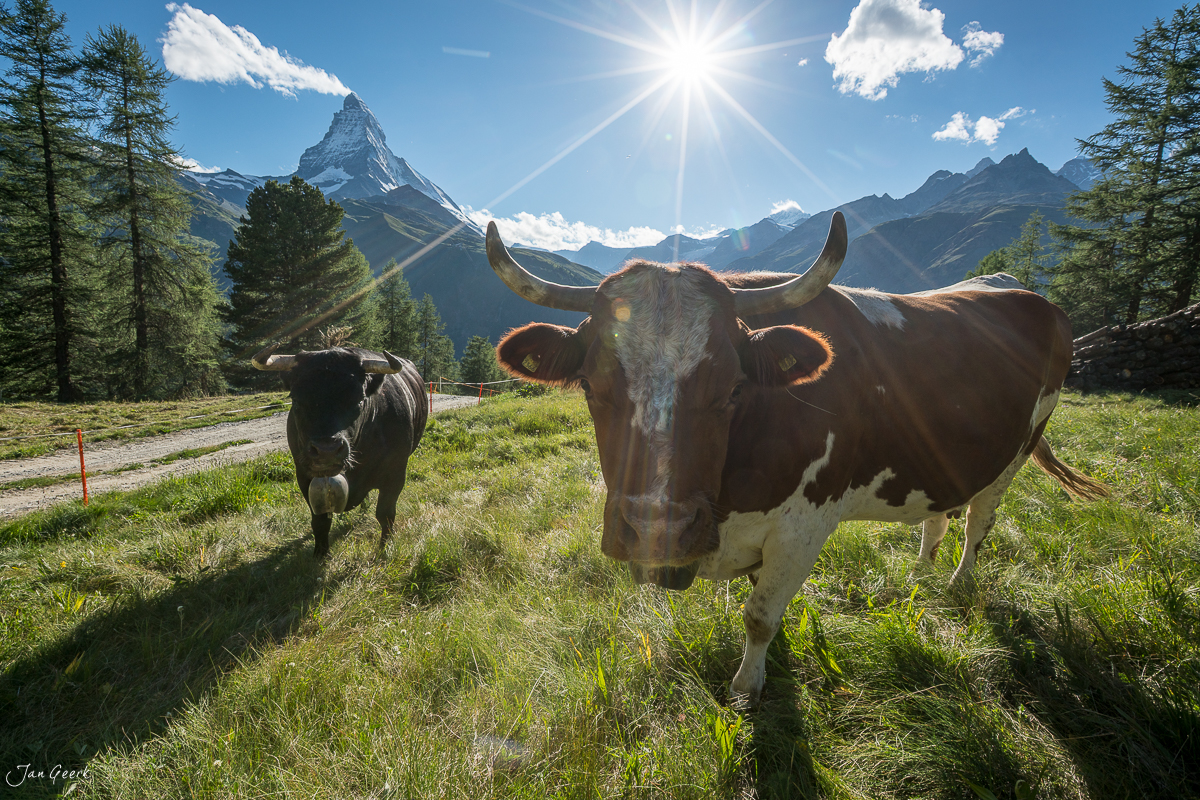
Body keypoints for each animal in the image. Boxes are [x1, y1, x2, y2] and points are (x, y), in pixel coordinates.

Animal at [251, 346, 427, 558]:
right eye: (295, 399)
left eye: (359, 400)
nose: (327, 450)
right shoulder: (304, 475)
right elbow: (320, 519)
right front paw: (320, 553)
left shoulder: (396, 474)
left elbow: (385, 514)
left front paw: (385, 549)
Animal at [484, 211, 1106, 706]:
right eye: (590, 384)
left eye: (734, 388)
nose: (656, 529)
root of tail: (1028, 295)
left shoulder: (805, 527)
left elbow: (759, 616)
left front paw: (746, 687)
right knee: (938, 518)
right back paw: (918, 579)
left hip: (1017, 450)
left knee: (978, 523)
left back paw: (955, 585)